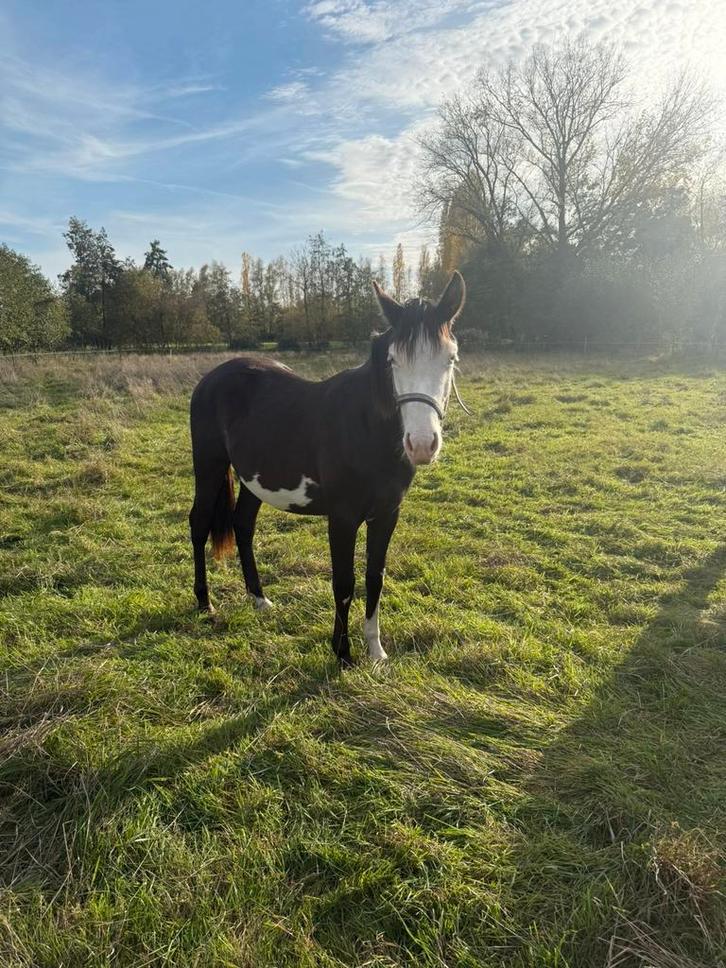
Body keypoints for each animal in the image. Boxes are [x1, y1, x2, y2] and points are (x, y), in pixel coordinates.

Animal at [188, 271, 466, 667]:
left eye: (450, 358)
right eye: (393, 361)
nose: (422, 444)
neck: (367, 430)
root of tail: (213, 377)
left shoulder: (387, 514)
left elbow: (374, 577)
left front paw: (375, 652)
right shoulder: (343, 517)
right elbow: (344, 582)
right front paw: (343, 653)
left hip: (253, 480)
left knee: (242, 525)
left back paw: (259, 599)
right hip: (209, 465)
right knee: (198, 523)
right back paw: (204, 603)